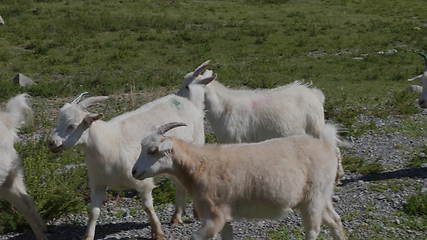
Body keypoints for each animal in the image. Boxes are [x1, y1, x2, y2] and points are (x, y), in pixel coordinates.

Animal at [46, 92, 206, 240]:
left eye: (72, 126)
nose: (51, 142)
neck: (108, 142)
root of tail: (182, 99)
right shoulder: (98, 183)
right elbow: (94, 212)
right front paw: (88, 236)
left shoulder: (142, 181)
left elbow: (148, 207)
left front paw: (158, 232)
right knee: (179, 185)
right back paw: (177, 217)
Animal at [133, 123, 348, 240]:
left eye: (153, 151)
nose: (134, 172)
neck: (200, 164)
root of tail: (327, 145)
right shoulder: (225, 216)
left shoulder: (215, 215)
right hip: (321, 195)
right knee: (335, 221)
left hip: (314, 198)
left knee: (313, 230)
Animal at [176, 60, 346, 180]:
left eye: (187, 86)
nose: (176, 97)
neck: (224, 107)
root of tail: (314, 93)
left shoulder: (236, 140)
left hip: (315, 127)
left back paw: (338, 175)